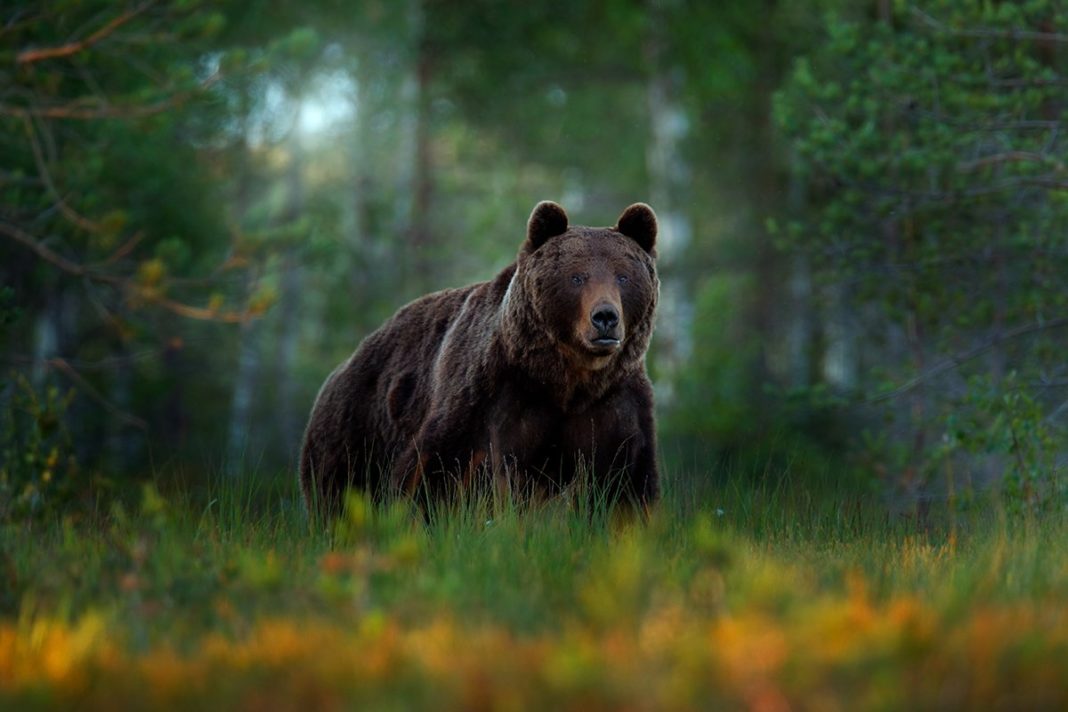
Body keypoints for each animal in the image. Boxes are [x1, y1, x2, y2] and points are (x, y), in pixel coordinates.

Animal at [301, 200, 657, 518]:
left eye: (623, 276)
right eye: (577, 277)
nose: (605, 317)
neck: (566, 379)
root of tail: (339, 370)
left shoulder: (613, 403)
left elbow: (625, 485)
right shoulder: (488, 396)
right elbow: (432, 471)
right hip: (354, 435)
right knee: (338, 496)